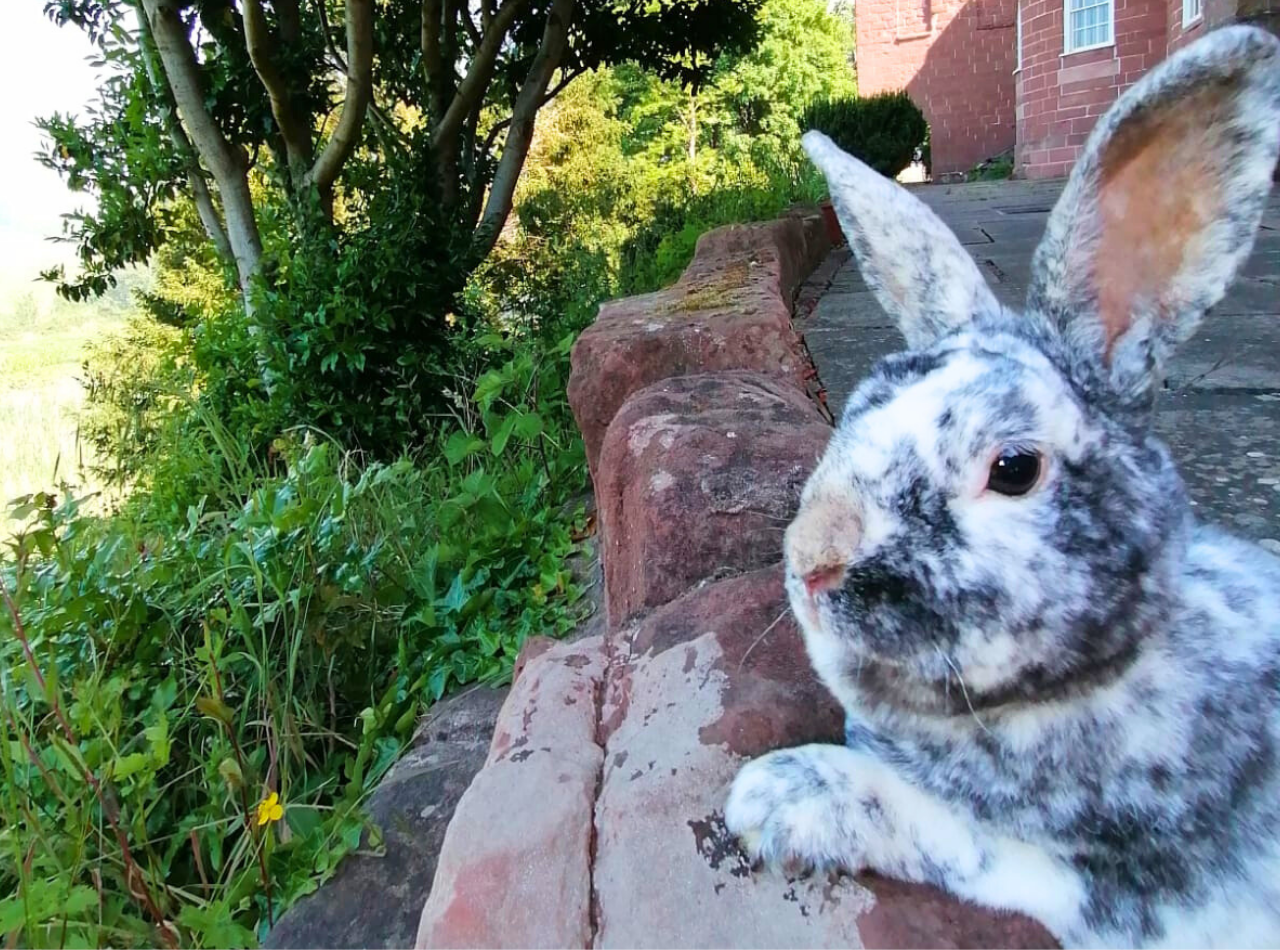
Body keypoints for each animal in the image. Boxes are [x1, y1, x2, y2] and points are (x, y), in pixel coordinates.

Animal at [724, 24, 1280, 950]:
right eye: (862, 402)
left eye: (1013, 469)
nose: (810, 561)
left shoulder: (1122, 892)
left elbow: (954, 835)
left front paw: (774, 796)